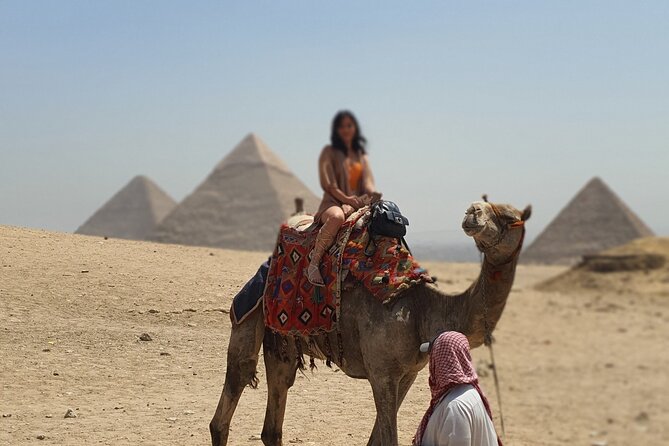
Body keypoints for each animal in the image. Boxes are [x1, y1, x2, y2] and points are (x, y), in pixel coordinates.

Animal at [210, 200, 531, 446]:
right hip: (249, 313)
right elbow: (387, 439)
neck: (421, 311)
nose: (472, 211)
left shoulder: (408, 374)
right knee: (235, 384)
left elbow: (376, 438)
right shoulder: (382, 372)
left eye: (509, 216)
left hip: (283, 341)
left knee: (275, 410)